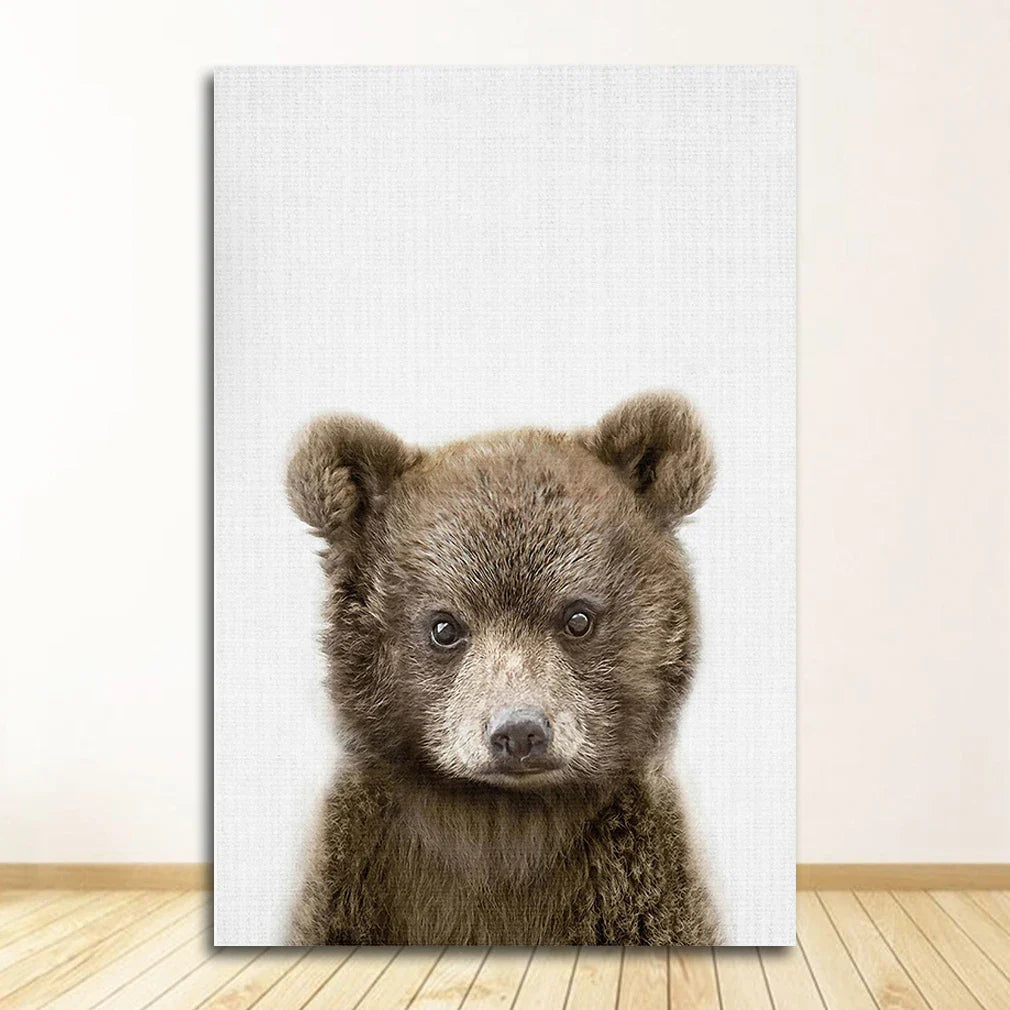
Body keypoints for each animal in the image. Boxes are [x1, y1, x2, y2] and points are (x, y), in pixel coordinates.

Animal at [285, 391, 720, 946]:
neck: (500, 824)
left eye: (578, 617)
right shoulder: (357, 879)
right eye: (444, 626)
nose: (519, 732)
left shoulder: (638, 886)